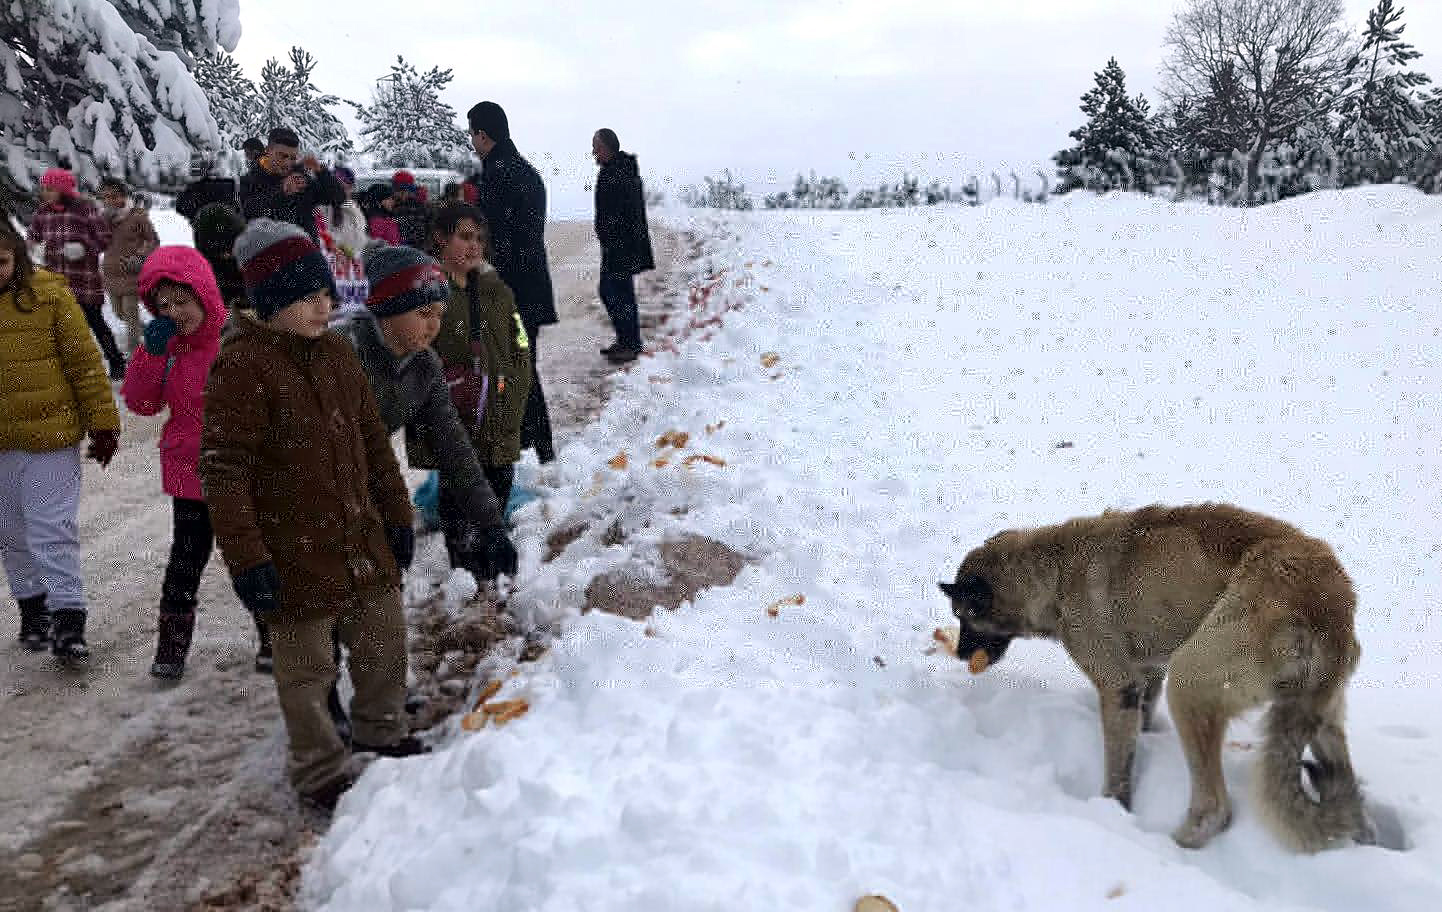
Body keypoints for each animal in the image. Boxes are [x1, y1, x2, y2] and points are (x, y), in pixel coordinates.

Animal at [945, 502, 1372, 854]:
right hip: (1319, 720)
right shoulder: (1146, 678)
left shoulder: (1117, 687)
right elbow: (1141, 726)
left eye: (964, 616)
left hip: (1190, 683)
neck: (1054, 572)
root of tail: (1329, 606)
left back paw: (1172, 847)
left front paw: (1112, 811)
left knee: (1215, 809)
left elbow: (1117, 771)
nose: (962, 653)